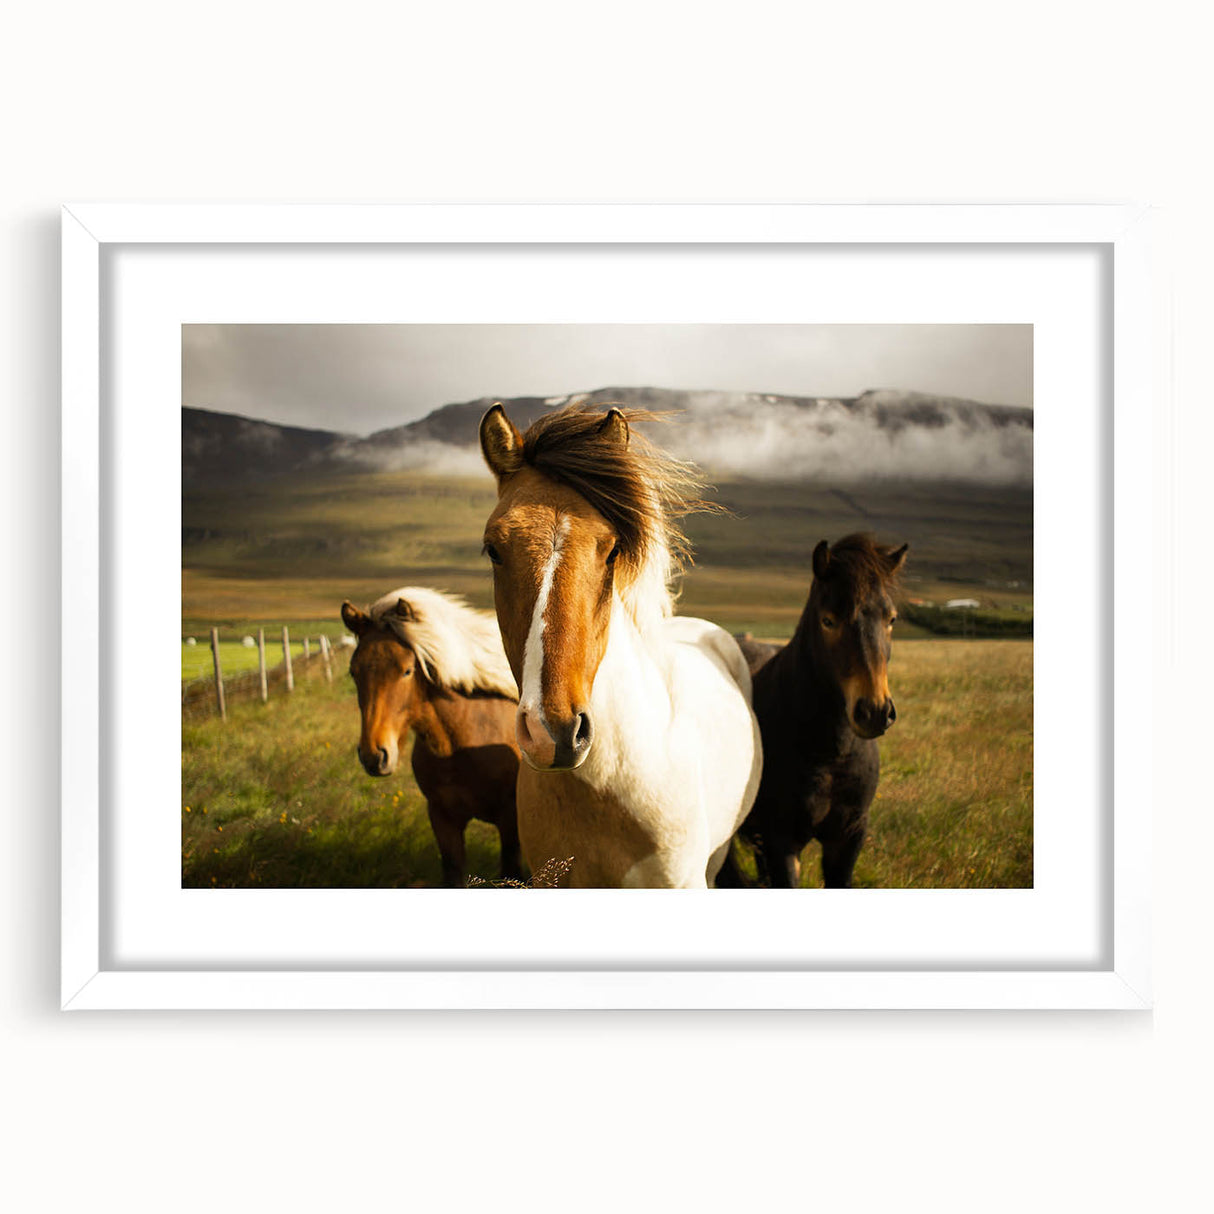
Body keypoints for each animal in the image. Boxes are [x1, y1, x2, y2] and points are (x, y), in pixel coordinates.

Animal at [340, 587, 523, 887]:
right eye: (353, 671)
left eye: (407, 670)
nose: (374, 755)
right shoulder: (442, 818)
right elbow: (453, 872)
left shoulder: (510, 821)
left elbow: (513, 872)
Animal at [718, 533, 907, 888]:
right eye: (828, 620)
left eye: (891, 619)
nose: (874, 711)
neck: (830, 754)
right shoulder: (781, 842)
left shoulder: (848, 837)